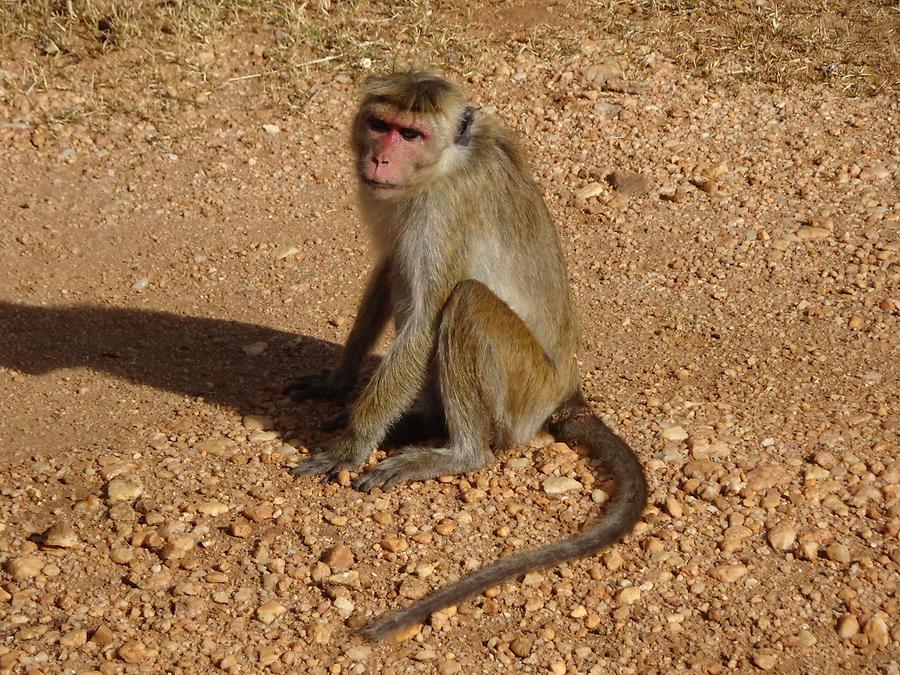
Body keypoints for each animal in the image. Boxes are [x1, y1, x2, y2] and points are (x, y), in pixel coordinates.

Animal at [284, 71, 644, 640]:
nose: (380, 159)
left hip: (523, 391)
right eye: (381, 125)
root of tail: (567, 391)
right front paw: (338, 382)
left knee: (466, 300)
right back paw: (418, 423)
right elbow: (388, 267)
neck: (444, 164)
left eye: (411, 135)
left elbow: (426, 317)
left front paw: (353, 445)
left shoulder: (442, 211)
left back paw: (459, 452)